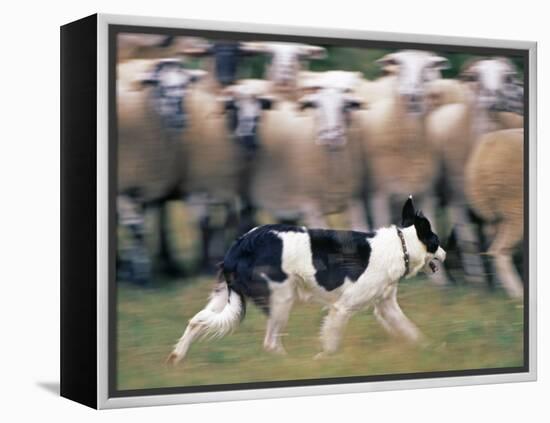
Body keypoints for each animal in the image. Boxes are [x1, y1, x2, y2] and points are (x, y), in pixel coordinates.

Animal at [169, 196, 448, 364]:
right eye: (436, 241)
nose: (445, 254)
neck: (401, 245)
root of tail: (238, 247)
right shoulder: (342, 308)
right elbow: (332, 342)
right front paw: (322, 360)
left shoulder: (386, 306)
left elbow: (411, 330)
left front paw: (430, 348)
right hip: (282, 299)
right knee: (270, 343)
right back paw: (291, 363)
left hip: (225, 297)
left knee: (197, 320)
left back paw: (177, 356)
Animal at [426, 56, 528, 284]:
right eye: (475, 77)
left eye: (507, 76)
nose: (492, 97)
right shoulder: (459, 200)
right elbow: (469, 242)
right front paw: (478, 281)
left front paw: (494, 282)